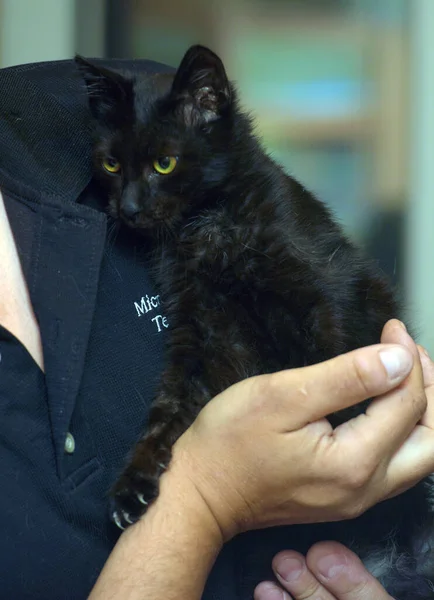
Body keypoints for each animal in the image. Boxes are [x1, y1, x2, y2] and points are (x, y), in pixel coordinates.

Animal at [76, 45, 434, 596]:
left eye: (164, 163)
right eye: (111, 163)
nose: (128, 208)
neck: (206, 229)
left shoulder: (324, 292)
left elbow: (333, 353)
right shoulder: (201, 332)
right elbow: (168, 406)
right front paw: (133, 482)